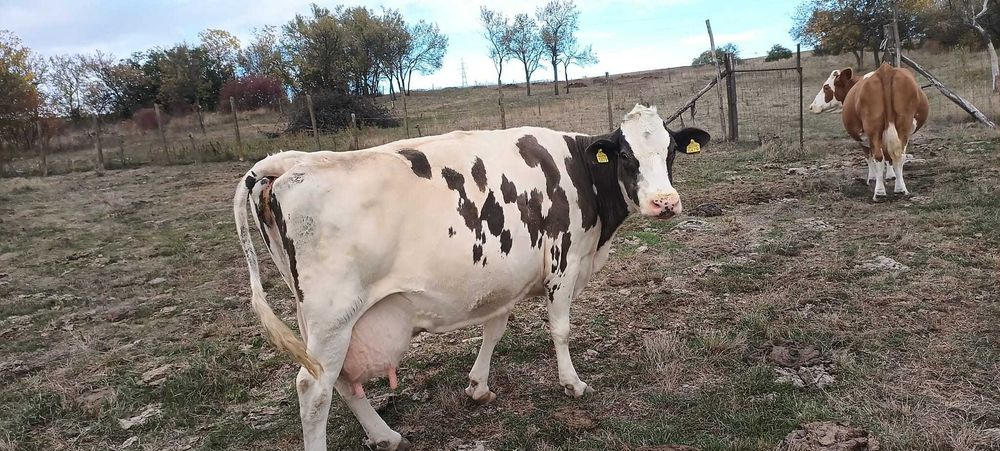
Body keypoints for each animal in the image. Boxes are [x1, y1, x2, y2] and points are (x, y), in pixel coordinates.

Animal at [233, 104, 710, 450]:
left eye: (670, 151)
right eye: (626, 156)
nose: (665, 202)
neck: (580, 172)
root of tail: (292, 164)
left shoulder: (505, 274)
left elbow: (493, 329)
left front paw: (478, 387)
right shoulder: (563, 260)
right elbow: (560, 329)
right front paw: (571, 382)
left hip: (325, 318)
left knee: (343, 382)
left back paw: (386, 435)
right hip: (333, 314)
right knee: (314, 390)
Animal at [809, 64, 930, 199]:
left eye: (826, 87)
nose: (812, 106)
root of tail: (885, 70)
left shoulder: (862, 139)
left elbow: (869, 157)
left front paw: (872, 178)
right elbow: (888, 157)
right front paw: (891, 176)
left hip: (873, 128)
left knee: (878, 156)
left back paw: (880, 192)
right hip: (903, 125)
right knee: (899, 155)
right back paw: (900, 189)